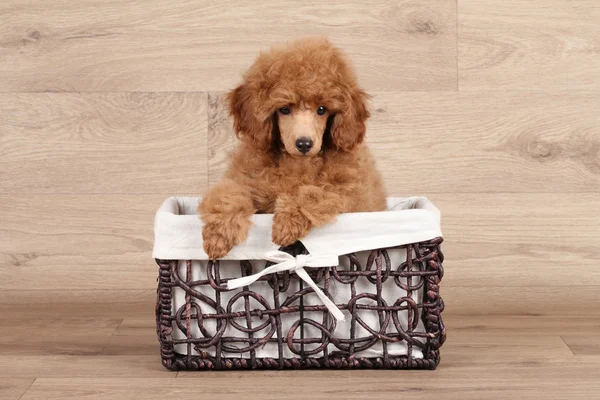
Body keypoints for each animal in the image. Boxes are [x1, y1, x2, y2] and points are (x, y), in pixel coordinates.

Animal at [199, 38, 386, 260]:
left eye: (322, 109)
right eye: (284, 109)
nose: (304, 144)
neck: (297, 162)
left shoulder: (347, 192)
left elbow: (313, 192)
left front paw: (286, 223)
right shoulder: (247, 179)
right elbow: (229, 194)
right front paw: (218, 236)